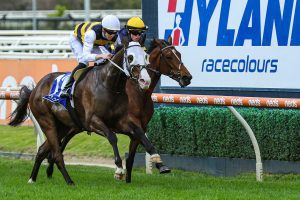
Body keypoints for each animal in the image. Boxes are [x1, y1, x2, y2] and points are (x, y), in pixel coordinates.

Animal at [8, 41, 154, 186]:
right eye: (130, 57)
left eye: (146, 56)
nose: (145, 81)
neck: (109, 85)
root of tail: (35, 89)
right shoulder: (92, 122)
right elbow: (112, 137)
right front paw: (119, 169)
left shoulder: (121, 121)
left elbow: (139, 132)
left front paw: (155, 157)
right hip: (46, 121)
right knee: (56, 154)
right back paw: (69, 181)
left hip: (62, 126)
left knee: (42, 150)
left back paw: (32, 178)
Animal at [46, 36, 192, 183]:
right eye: (168, 56)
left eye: (179, 54)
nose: (187, 77)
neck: (138, 93)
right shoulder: (123, 123)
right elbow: (116, 140)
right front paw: (119, 170)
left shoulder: (137, 128)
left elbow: (134, 155)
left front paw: (156, 167)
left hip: (75, 126)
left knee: (60, 144)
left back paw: (50, 169)